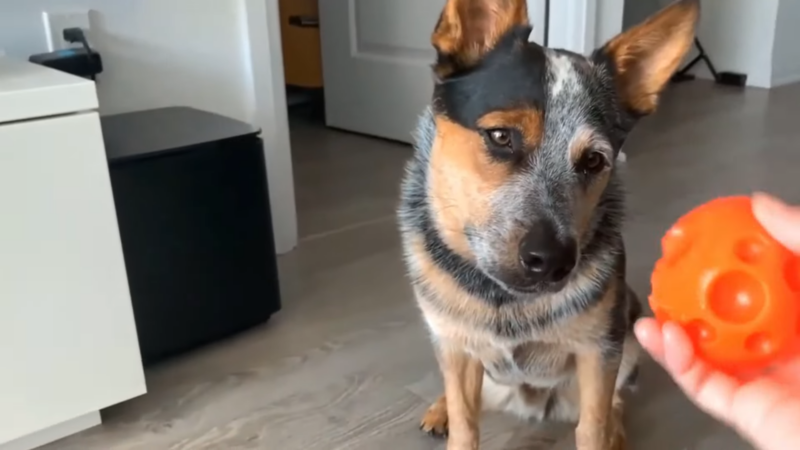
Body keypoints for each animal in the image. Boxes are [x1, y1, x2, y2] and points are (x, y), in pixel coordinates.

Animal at [396, 0, 696, 450]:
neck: (504, 301)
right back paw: (440, 409)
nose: (553, 260)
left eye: (594, 161)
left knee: (614, 404)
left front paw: (604, 432)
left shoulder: (599, 351)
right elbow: (465, 421)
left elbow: (593, 425)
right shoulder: (453, 344)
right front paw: (451, 414)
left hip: (627, 336)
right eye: (500, 136)